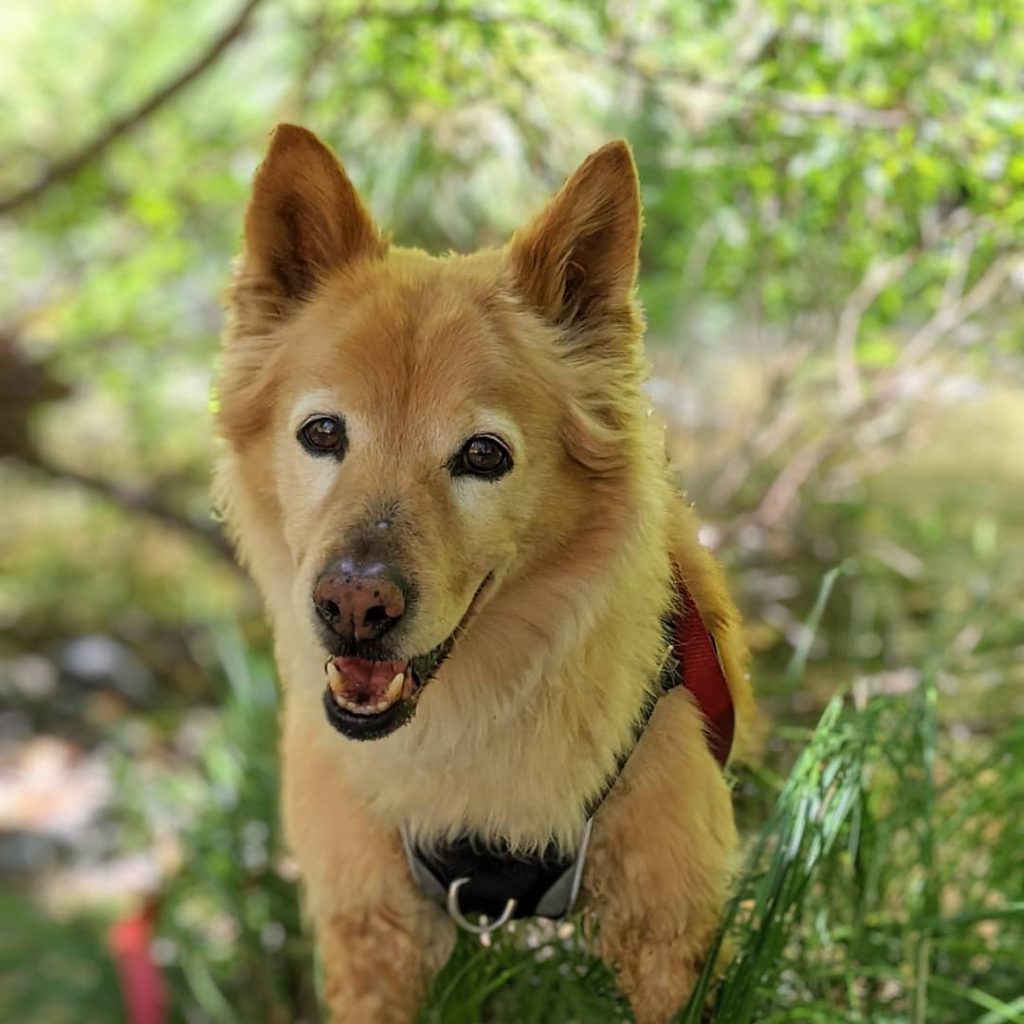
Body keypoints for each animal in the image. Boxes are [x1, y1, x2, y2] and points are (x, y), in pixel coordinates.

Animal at [211, 128, 757, 1024]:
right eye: (323, 433)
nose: (353, 604)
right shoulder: (371, 928)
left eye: (483, 455)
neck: (467, 718)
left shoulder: (670, 925)